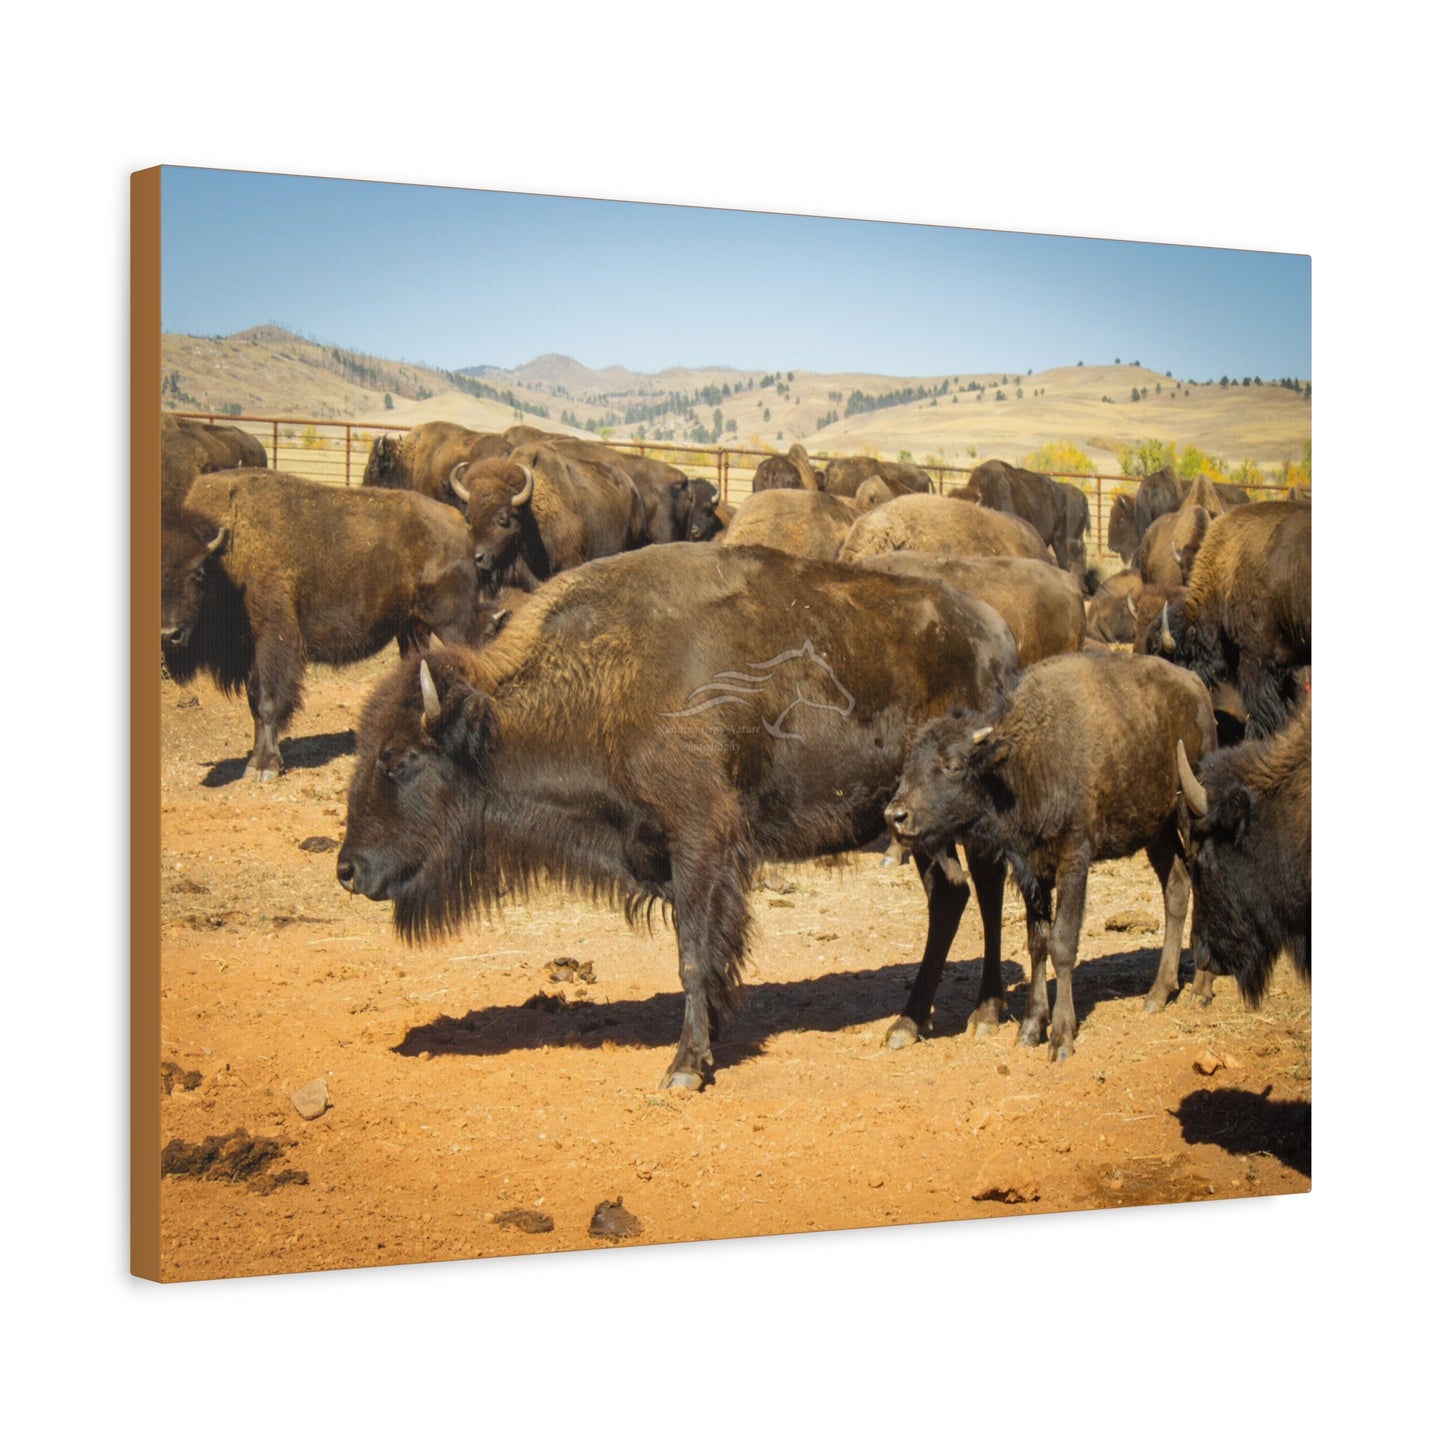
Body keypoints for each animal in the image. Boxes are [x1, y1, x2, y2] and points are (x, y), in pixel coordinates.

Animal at [165, 470, 485, 781]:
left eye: (198, 572)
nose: (169, 634)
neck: (229, 550)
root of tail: (460, 523)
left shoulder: (273, 642)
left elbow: (267, 702)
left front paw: (265, 767)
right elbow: (254, 704)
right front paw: (258, 763)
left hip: (452, 625)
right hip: (412, 629)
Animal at [335, 543, 1021, 1091]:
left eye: (398, 760)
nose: (348, 869)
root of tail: (999, 634)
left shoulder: (700, 845)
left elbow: (693, 953)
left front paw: (686, 1066)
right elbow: (706, 955)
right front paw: (710, 1035)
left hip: (966, 819)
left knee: (984, 891)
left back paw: (982, 1016)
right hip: (918, 826)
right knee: (952, 895)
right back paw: (911, 1022)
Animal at [884, 652, 1218, 1059]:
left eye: (952, 765)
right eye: (908, 766)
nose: (896, 815)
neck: (1024, 761)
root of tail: (1195, 686)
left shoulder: (1073, 859)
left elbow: (1063, 943)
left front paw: (1061, 1036)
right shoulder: (1032, 869)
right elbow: (1038, 943)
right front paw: (1030, 1027)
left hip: (1190, 813)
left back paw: (1201, 988)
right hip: (1157, 829)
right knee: (1176, 888)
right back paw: (1157, 994)